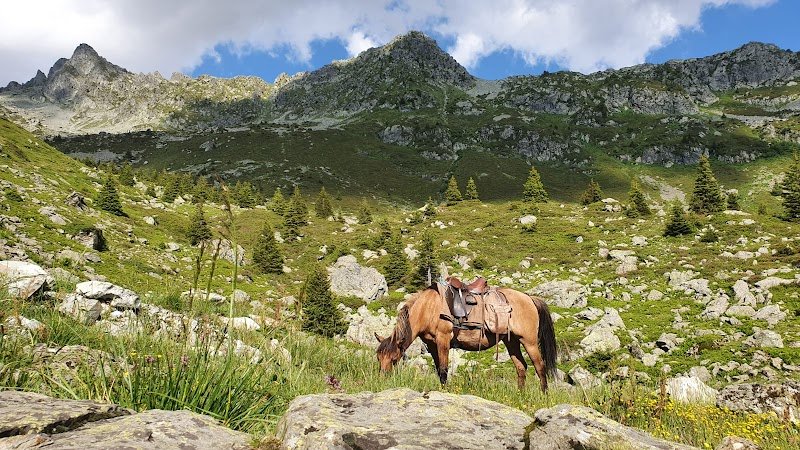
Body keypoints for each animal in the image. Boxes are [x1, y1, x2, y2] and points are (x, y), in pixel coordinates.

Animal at [375, 283, 558, 391]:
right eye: (378, 358)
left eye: (393, 359)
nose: (382, 379)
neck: (429, 308)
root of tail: (529, 298)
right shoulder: (432, 345)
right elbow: (438, 369)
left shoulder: (443, 340)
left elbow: (443, 369)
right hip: (511, 341)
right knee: (521, 367)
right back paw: (520, 394)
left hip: (529, 341)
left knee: (540, 367)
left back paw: (544, 394)